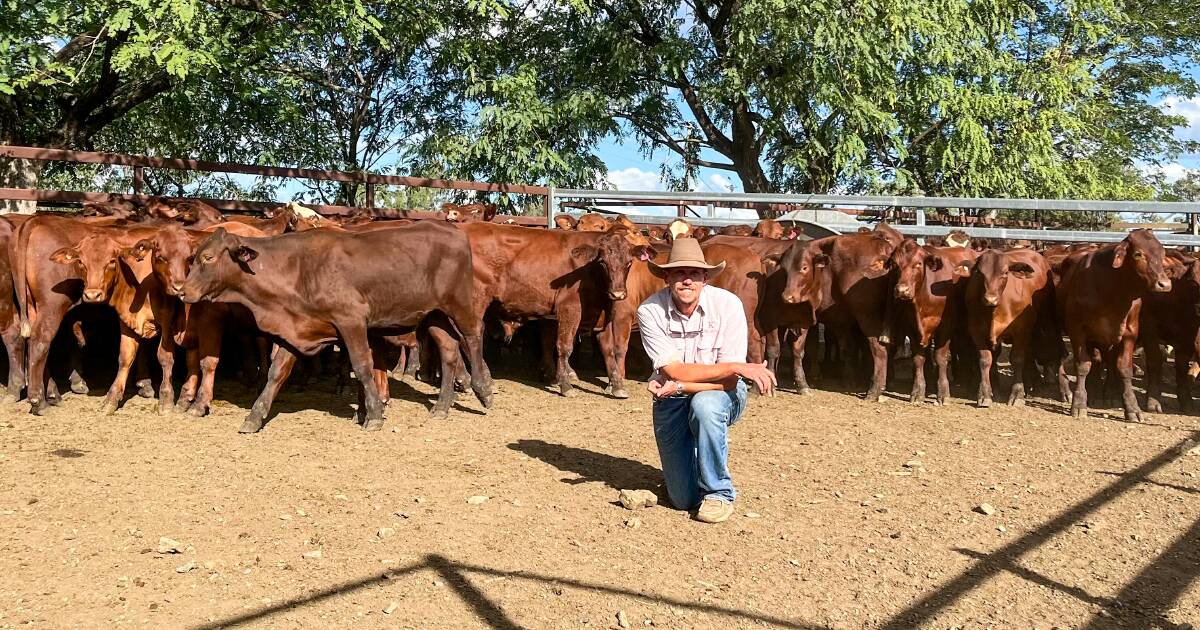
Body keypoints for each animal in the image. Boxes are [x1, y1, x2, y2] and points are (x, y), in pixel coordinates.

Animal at [177, 222, 487, 432]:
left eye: (208, 258)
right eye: (194, 257)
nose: (182, 290)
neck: (298, 269)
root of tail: (452, 230)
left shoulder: (351, 320)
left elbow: (362, 366)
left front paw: (374, 415)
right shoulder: (296, 329)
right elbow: (277, 373)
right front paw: (255, 417)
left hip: (459, 304)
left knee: (472, 336)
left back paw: (483, 389)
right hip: (434, 315)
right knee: (449, 352)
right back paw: (442, 407)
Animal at [892, 241, 974, 403]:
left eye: (918, 263)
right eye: (895, 264)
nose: (902, 290)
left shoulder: (945, 326)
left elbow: (940, 357)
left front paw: (943, 392)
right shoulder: (911, 328)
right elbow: (918, 359)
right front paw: (918, 391)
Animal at [1060, 228, 1171, 420]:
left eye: (1162, 253)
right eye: (1138, 254)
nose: (1164, 284)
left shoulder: (1130, 332)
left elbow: (1124, 368)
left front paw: (1132, 407)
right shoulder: (1076, 329)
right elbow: (1083, 365)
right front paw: (1079, 403)